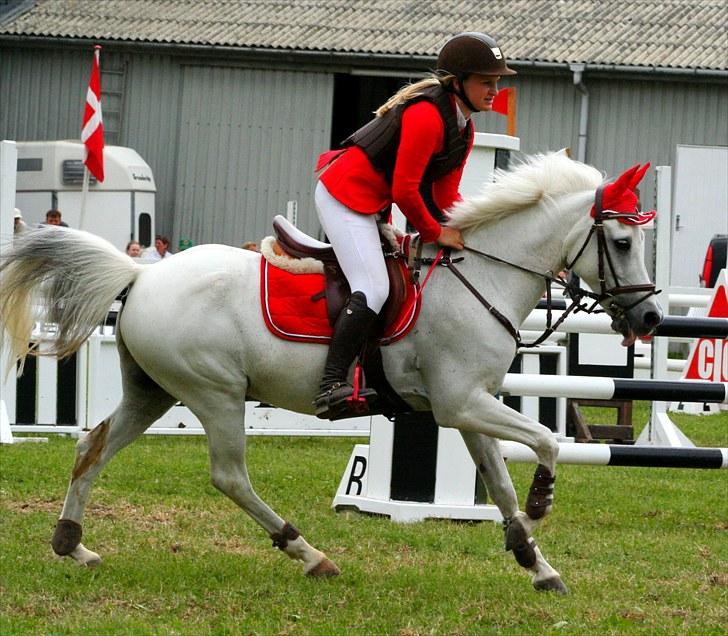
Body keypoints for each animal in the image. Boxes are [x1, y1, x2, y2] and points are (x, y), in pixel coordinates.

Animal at [0, 152, 660, 592]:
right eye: (623, 242)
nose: (651, 316)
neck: (481, 275)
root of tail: (141, 275)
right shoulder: (460, 403)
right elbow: (546, 439)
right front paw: (542, 500)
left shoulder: (471, 405)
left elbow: (498, 482)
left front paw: (536, 562)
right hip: (214, 394)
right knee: (229, 476)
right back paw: (308, 553)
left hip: (153, 391)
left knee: (91, 447)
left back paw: (73, 545)